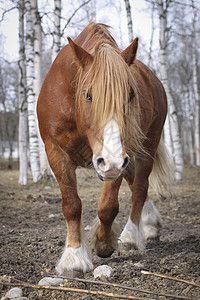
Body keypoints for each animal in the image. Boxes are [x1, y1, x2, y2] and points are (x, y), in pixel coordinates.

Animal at [36, 22, 173, 276]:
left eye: (130, 94)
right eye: (88, 95)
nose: (111, 161)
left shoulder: (117, 158)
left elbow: (108, 206)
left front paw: (104, 242)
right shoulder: (55, 151)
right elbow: (71, 204)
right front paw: (74, 256)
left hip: (146, 145)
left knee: (139, 188)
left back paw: (131, 234)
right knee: (135, 183)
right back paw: (149, 223)